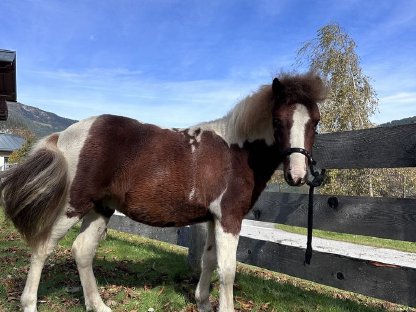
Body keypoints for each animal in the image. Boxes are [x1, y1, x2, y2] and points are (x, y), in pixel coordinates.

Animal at [0, 72, 324, 310]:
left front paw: (202, 302)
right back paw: (29, 304)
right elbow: (228, 269)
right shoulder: (229, 218)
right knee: (43, 247)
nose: (297, 175)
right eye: (278, 121)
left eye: (316, 122)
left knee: (82, 251)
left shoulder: (212, 219)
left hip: (100, 207)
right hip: (73, 205)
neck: (235, 151)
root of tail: (65, 134)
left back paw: (98, 305)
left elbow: (208, 260)